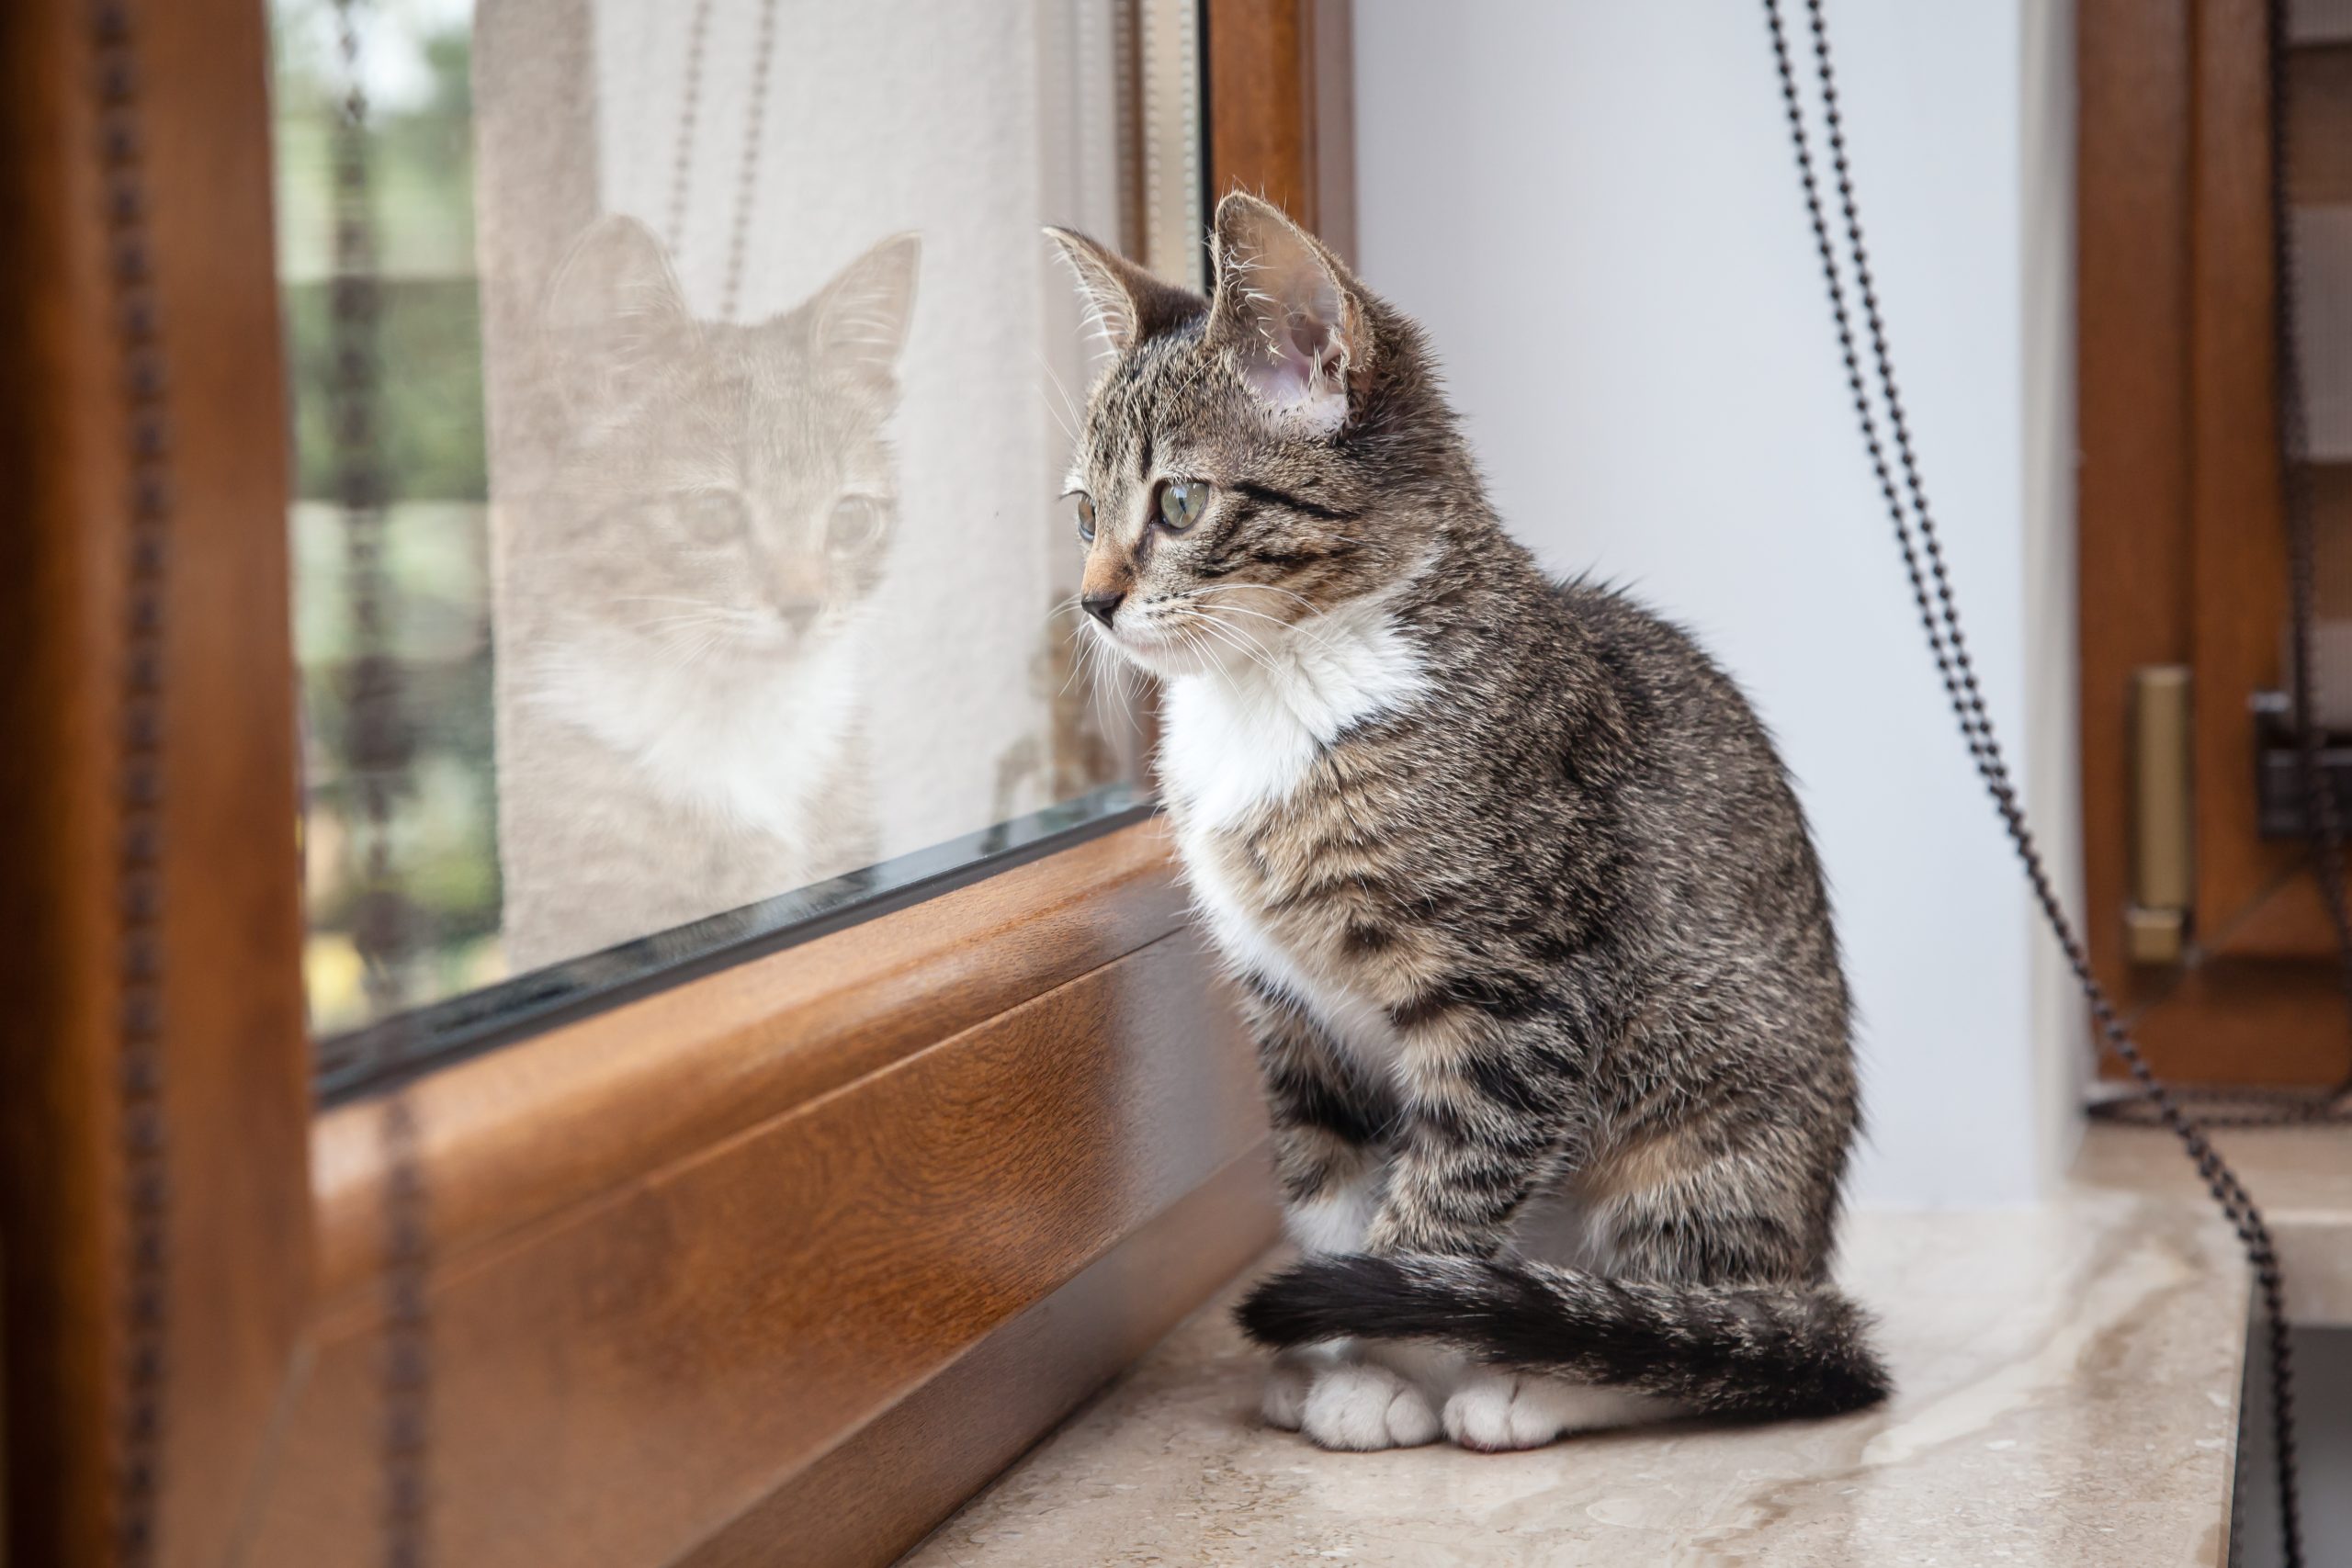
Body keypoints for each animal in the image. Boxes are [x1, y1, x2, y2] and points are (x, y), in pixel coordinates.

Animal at [1053, 199, 1891, 1457]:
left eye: (1179, 503)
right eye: (1081, 512)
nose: (1094, 599)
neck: (1275, 688)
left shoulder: (1516, 994)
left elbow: (1439, 1209)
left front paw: (1383, 1359)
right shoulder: (1288, 1012)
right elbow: (1331, 1192)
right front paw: (1332, 1358)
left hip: (1710, 1120)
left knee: (1708, 1314)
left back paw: (1548, 1377)